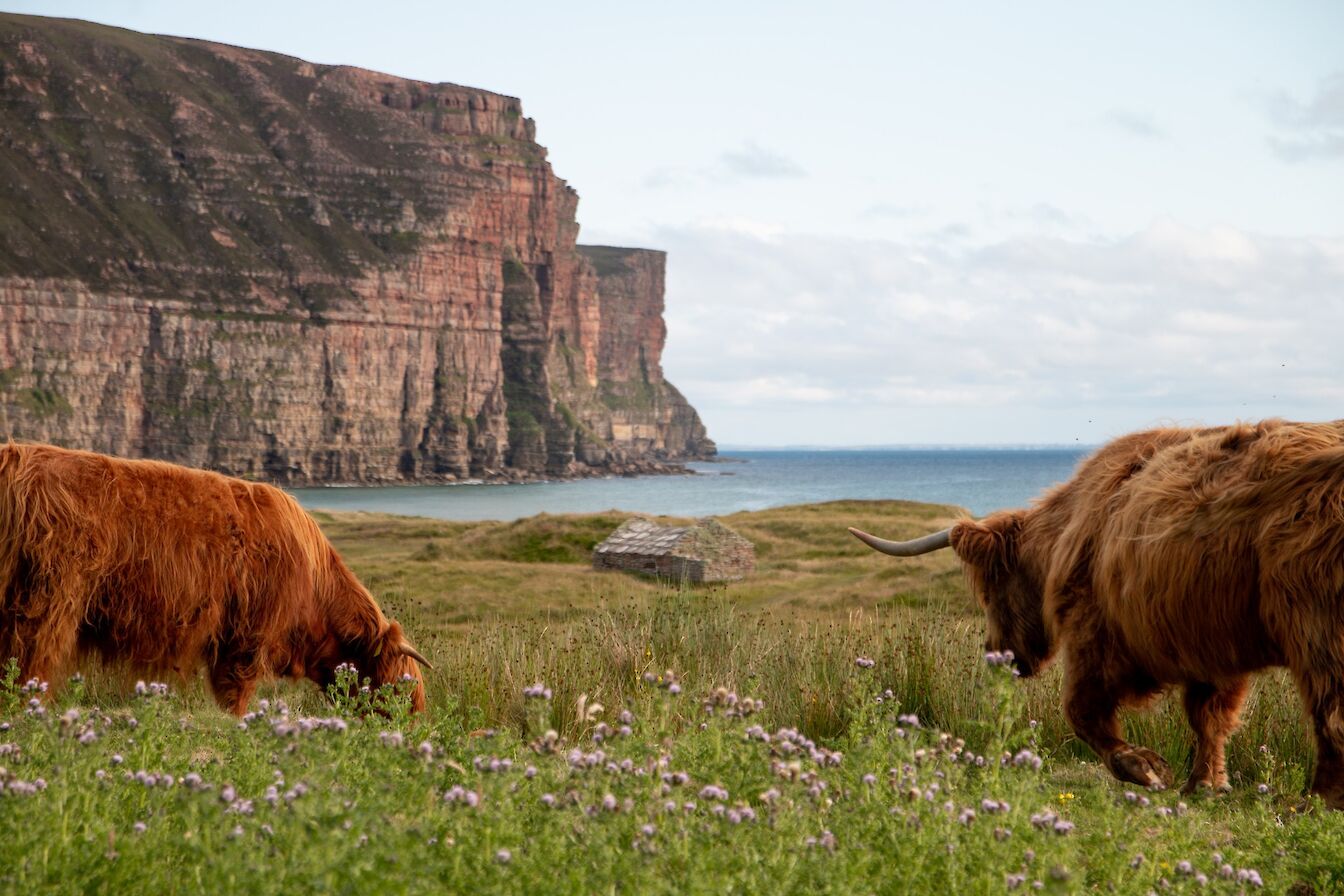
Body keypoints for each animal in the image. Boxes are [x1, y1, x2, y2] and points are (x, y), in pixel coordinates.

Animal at [0, 440, 430, 714]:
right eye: (396, 685)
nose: (412, 721)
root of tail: (14, 457)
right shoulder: (247, 637)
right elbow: (235, 691)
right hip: (46, 601)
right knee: (30, 659)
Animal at [849, 421, 1344, 805]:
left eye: (990, 592)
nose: (994, 653)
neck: (1065, 529)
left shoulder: (1094, 631)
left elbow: (1081, 710)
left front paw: (1146, 768)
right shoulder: (1207, 641)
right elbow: (1210, 717)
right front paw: (1204, 784)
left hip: (1316, 621)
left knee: (1330, 707)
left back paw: (1319, 799)